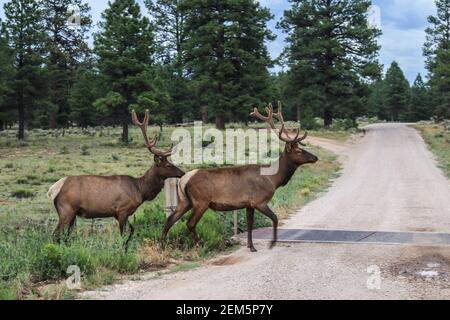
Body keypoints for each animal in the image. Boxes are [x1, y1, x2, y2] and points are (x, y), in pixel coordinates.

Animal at [46, 110, 184, 248]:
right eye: (168, 165)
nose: (182, 173)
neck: (140, 190)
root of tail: (53, 189)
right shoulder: (122, 210)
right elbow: (123, 235)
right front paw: (123, 249)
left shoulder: (120, 214)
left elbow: (131, 231)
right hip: (66, 210)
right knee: (55, 234)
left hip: (73, 213)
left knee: (66, 236)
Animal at [160, 102, 318, 252]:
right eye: (298, 151)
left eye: (301, 148)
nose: (315, 157)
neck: (273, 179)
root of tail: (184, 179)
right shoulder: (259, 201)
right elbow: (275, 218)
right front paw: (271, 243)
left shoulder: (249, 204)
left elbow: (250, 224)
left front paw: (251, 246)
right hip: (201, 201)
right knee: (190, 223)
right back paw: (199, 245)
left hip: (185, 200)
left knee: (170, 219)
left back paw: (162, 245)